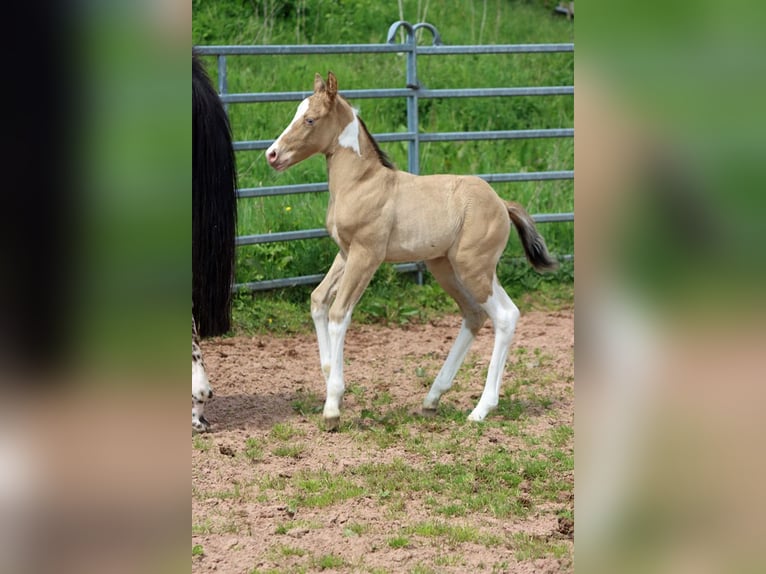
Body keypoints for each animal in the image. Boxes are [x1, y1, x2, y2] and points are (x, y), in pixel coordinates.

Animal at [270, 72, 560, 430]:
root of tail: (502, 203)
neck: (361, 184)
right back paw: (432, 399)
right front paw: (329, 384)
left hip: (473, 268)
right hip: (449, 267)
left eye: (310, 119)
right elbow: (318, 301)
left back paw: (480, 409)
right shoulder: (345, 254)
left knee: (505, 316)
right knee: (476, 314)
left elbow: (339, 313)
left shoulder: (367, 255)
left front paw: (333, 407)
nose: (272, 155)